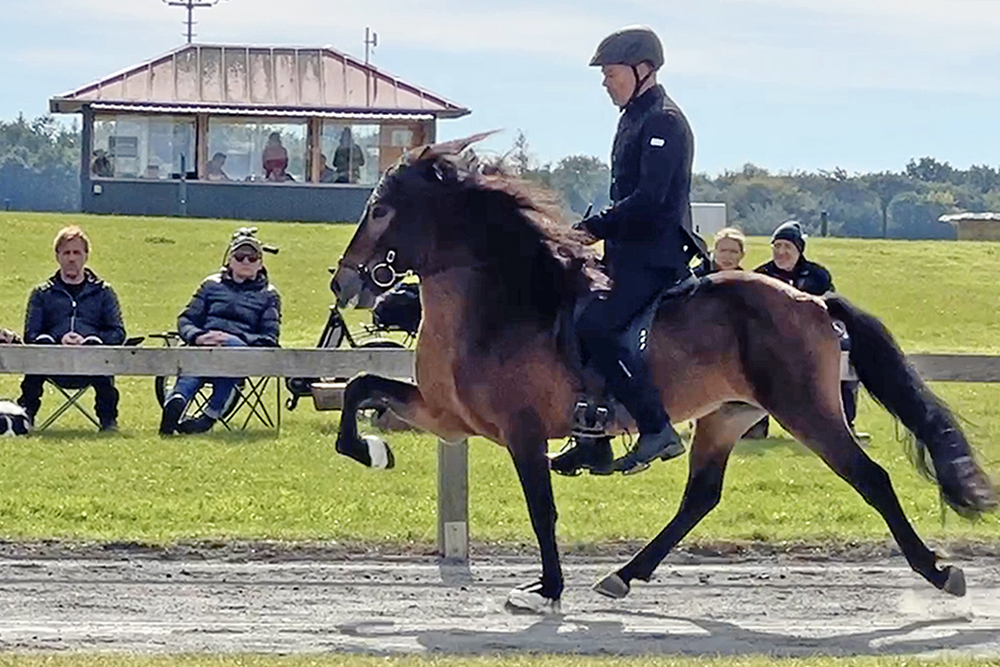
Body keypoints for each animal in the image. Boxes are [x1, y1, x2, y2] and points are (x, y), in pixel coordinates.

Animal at [332, 137, 996, 616]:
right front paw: (372, 450)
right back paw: (624, 575)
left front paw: (547, 590)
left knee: (871, 478)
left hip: (806, 410)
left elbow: (542, 510)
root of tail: (809, 299)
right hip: (727, 416)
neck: (500, 300)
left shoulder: (520, 432)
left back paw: (939, 572)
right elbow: (362, 387)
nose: (344, 282)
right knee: (701, 495)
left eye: (381, 209)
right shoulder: (447, 416)